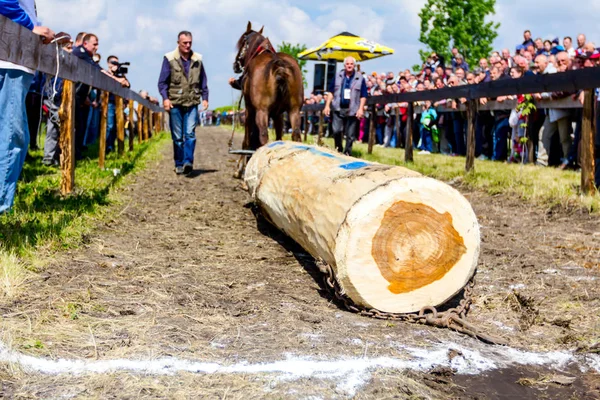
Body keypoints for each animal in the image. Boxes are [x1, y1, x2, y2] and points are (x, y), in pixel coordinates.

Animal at [232, 21, 302, 177]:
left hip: (261, 111)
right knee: (296, 135)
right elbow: (279, 138)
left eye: (242, 43)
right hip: (294, 111)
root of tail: (279, 65)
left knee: (263, 137)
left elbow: (247, 139)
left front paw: (239, 168)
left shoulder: (249, 110)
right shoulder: (278, 115)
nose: (235, 65)